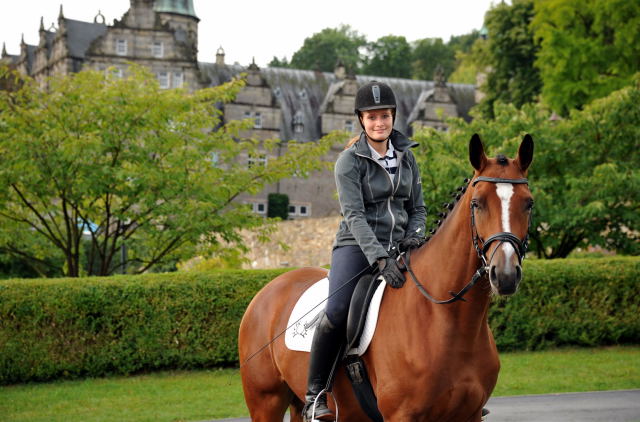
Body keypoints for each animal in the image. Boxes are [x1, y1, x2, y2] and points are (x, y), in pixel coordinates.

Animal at [240, 134, 536, 420]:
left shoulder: (470, 414)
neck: (445, 319)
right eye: (477, 203)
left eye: (529, 203)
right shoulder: (401, 414)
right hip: (266, 403)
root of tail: (269, 289)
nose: (505, 274)